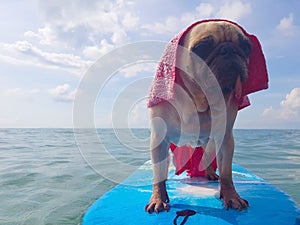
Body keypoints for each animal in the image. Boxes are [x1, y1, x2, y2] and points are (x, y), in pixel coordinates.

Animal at [145, 20, 251, 213]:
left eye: (246, 47)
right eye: (202, 48)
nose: (229, 50)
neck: (200, 100)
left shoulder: (225, 138)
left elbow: (226, 172)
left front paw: (232, 196)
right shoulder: (159, 139)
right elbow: (158, 176)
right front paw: (158, 198)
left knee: (207, 158)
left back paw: (210, 173)